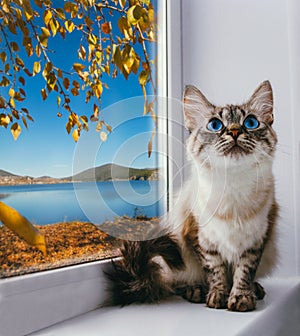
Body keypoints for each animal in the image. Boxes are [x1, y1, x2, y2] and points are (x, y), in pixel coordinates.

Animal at [104, 80, 278, 312]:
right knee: (175, 283)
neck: (233, 187)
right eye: (215, 125)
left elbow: (243, 273)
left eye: (250, 122)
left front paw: (241, 298)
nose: (234, 131)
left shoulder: (256, 240)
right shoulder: (200, 239)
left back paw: (256, 290)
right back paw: (196, 291)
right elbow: (216, 272)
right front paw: (217, 297)